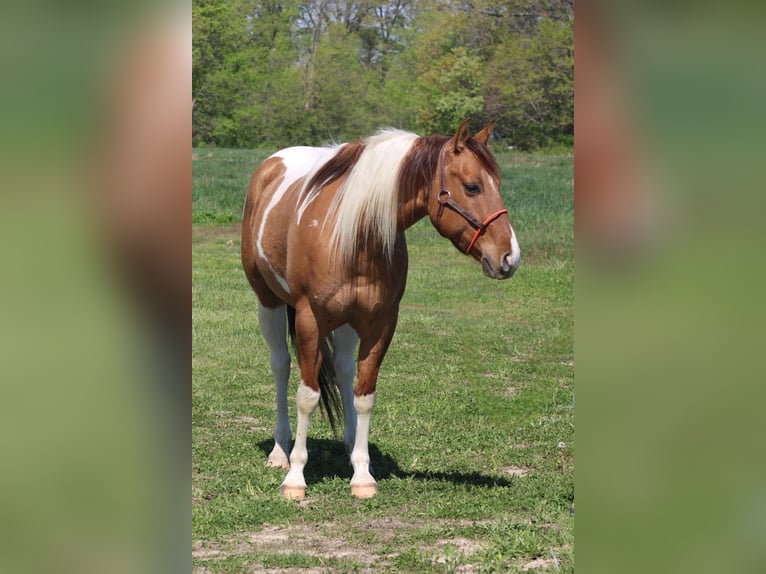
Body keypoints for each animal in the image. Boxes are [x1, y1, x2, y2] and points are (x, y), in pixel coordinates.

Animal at [243, 120, 520, 500]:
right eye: (472, 186)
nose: (510, 257)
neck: (352, 233)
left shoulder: (381, 323)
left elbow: (364, 395)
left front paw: (362, 474)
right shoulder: (309, 319)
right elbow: (307, 396)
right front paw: (296, 477)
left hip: (346, 321)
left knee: (343, 368)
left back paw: (348, 443)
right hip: (268, 301)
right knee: (281, 366)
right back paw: (279, 451)